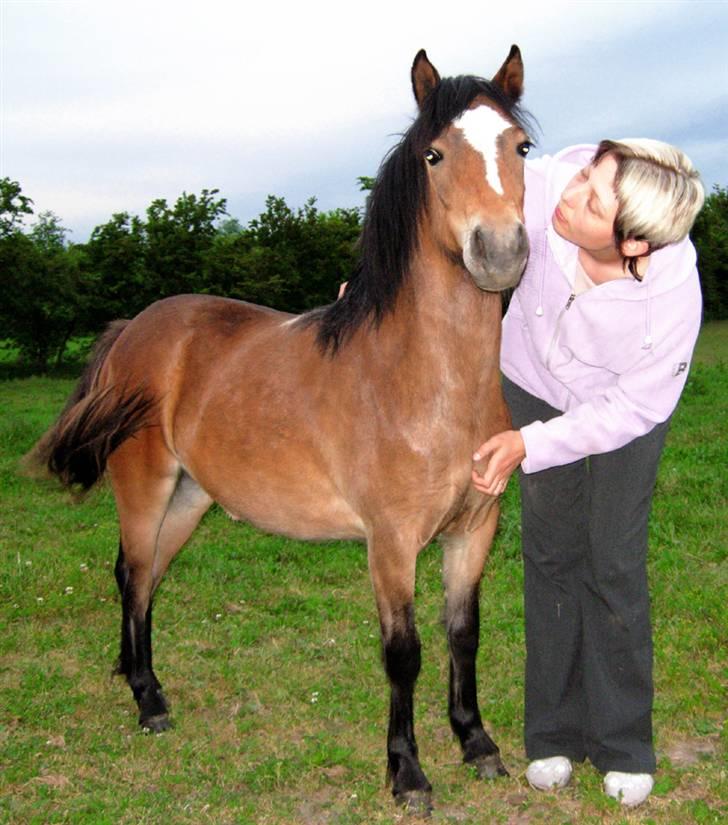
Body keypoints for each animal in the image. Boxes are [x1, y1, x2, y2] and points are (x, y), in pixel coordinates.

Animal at [31, 46, 532, 812]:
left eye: (522, 146)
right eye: (435, 154)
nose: (500, 250)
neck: (424, 382)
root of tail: (130, 331)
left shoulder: (474, 530)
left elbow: (463, 635)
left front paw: (476, 742)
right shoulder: (391, 545)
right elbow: (404, 653)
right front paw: (407, 772)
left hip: (189, 499)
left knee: (144, 580)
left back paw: (135, 679)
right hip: (146, 488)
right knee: (134, 575)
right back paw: (149, 702)